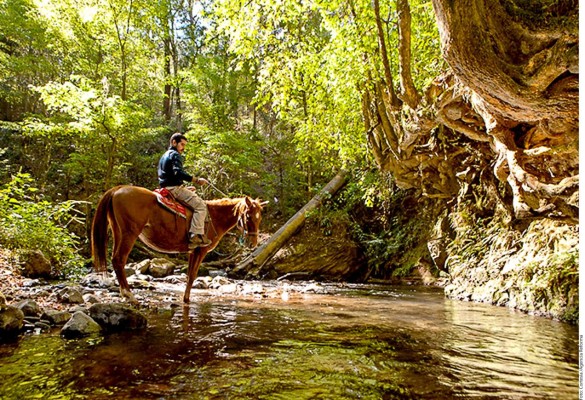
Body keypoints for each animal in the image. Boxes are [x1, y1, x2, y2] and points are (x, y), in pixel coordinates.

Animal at [90, 186, 266, 302]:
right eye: (249, 216)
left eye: (260, 218)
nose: (253, 243)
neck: (214, 217)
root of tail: (117, 189)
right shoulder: (201, 251)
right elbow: (193, 276)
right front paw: (187, 300)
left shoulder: (192, 251)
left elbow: (189, 276)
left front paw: (185, 299)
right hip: (129, 233)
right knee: (119, 260)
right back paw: (129, 295)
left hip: (117, 231)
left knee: (115, 259)